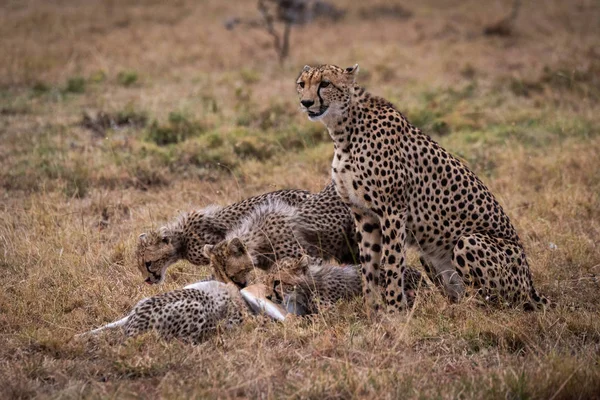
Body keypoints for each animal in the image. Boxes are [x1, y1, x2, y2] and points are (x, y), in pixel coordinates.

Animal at [296, 64, 548, 314]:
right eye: (302, 84)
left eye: (325, 83)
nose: (306, 103)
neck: (344, 130)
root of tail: (531, 287)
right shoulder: (364, 215)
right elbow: (369, 266)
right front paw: (372, 311)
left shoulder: (393, 210)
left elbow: (392, 263)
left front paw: (395, 311)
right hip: (429, 252)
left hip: (468, 242)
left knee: (494, 303)